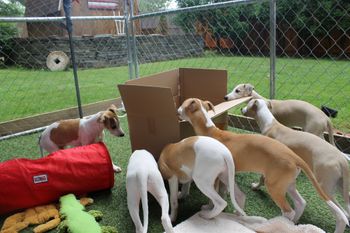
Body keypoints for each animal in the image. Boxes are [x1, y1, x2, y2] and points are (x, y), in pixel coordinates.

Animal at [179, 98, 348, 233]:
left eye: (183, 104)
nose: (177, 111)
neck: (211, 130)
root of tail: (294, 156)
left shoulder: (215, 174)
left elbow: (214, 196)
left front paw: (208, 208)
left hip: (274, 186)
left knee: (289, 211)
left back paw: (277, 224)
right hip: (286, 183)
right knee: (300, 203)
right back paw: (293, 224)